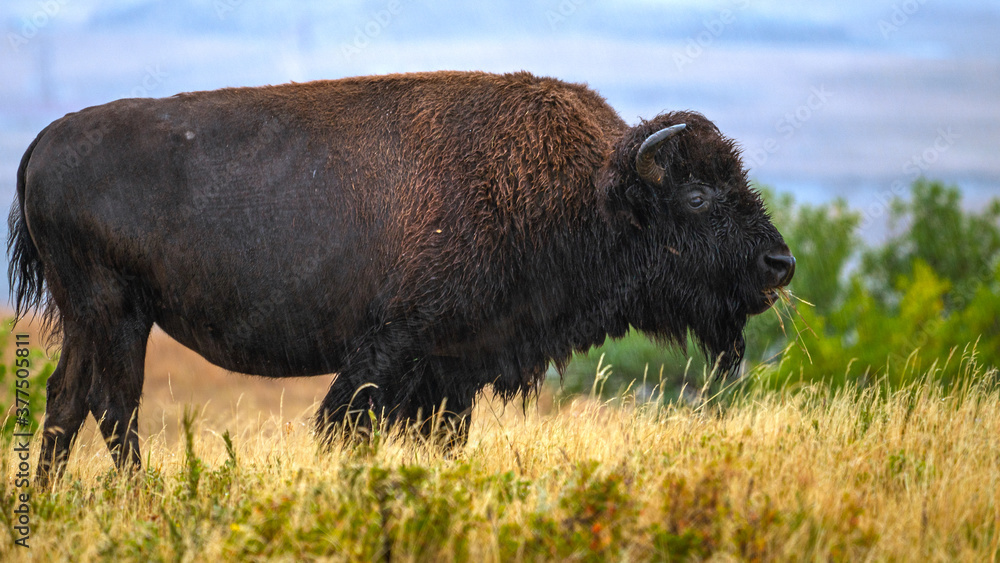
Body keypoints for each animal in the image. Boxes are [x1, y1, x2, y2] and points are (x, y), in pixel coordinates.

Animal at [5, 70, 788, 484]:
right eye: (698, 196)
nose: (780, 264)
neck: (582, 193)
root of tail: (41, 142)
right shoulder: (393, 349)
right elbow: (341, 423)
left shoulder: (453, 370)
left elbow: (440, 438)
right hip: (116, 311)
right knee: (113, 404)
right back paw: (138, 497)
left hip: (89, 318)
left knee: (67, 399)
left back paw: (51, 499)